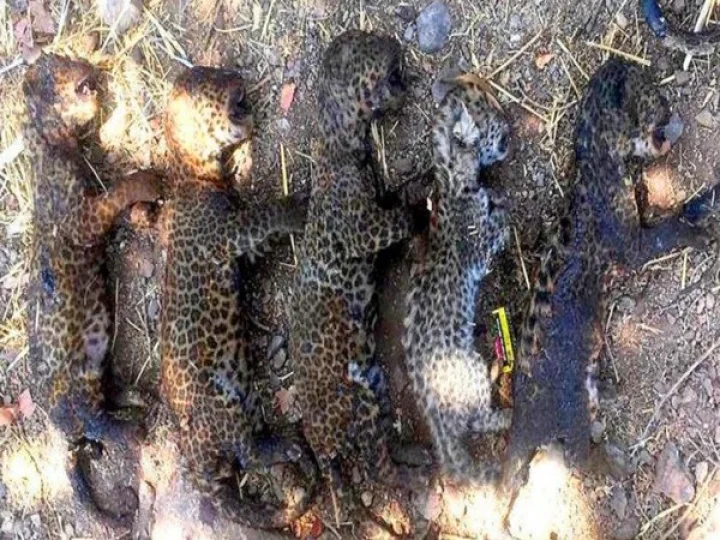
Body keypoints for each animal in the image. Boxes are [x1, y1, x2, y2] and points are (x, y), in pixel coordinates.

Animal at [22, 53, 162, 517]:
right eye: (57, 69)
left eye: (63, 59)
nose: (84, 65)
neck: (50, 141)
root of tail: (59, 431)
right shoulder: (81, 218)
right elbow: (118, 191)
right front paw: (149, 180)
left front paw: (146, 217)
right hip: (80, 395)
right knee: (106, 427)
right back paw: (139, 425)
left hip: (95, 382)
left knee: (107, 411)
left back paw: (140, 399)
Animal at [158, 64, 314, 529]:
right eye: (212, 81)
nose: (235, 76)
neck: (192, 172)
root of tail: (194, 463)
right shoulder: (228, 234)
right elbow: (264, 215)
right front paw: (296, 206)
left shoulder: (244, 250)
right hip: (222, 410)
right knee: (248, 452)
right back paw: (288, 444)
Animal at [289, 30, 418, 491]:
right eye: (369, 41)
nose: (394, 40)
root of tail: (319, 445)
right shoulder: (361, 229)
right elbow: (396, 219)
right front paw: (421, 197)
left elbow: (394, 201)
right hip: (357, 403)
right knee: (378, 469)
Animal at [401, 73, 512, 485]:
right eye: (492, 116)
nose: (510, 125)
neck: (451, 177)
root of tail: (436, 420)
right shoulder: (477, 252)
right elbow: (497, 227)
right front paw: (502, 207)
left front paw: (495, 194)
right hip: (471, 369)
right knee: (477, 420)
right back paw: (505, 410)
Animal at [507, 58, 717, 486]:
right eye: (653, 91)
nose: (670, 109)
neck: (594, 162)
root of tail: (521, 418)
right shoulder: (632, 245)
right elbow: (668, 230)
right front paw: (699, 227)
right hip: (573, 414)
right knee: (576, 457)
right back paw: (614, 466)